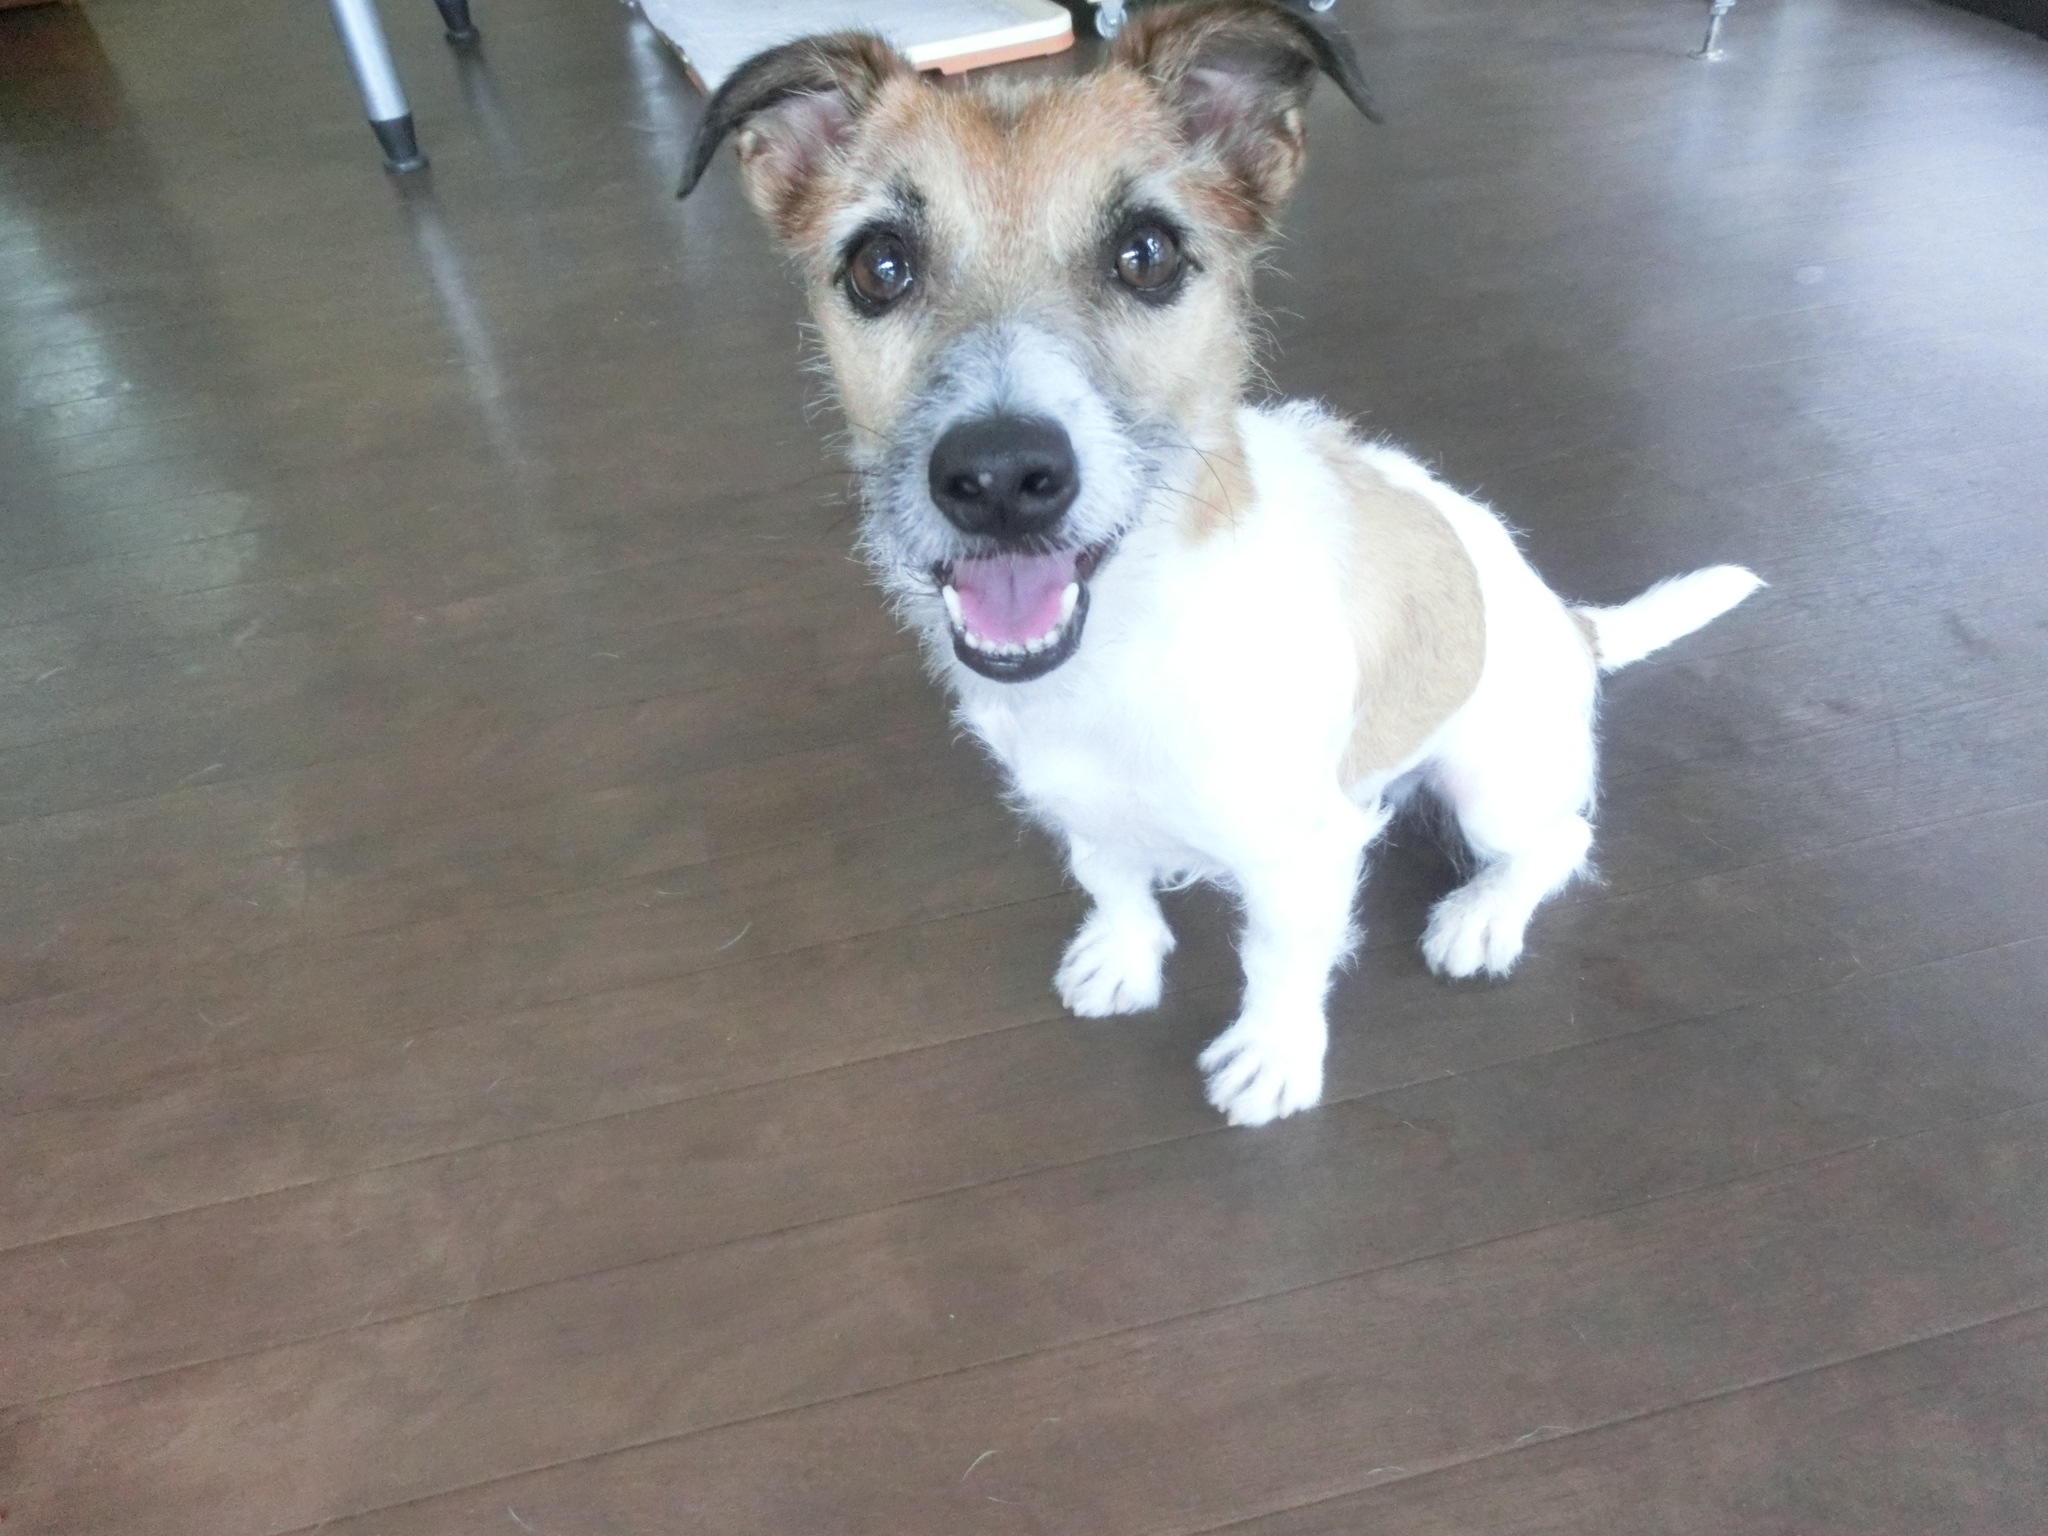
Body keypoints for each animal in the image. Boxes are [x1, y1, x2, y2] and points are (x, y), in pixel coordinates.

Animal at [680, 0, 1761, 1126]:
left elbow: (1280, 961)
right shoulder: (1078, 806)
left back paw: (1482, 916)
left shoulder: (1305, 857)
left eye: (1147, 253)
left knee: (1559, 843)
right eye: (878, 265)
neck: (1127, 643)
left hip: (1493, 781)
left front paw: (1273, 1057)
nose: (1000, 478)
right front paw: (1122, 956)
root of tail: (1571, 621)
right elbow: (1109, 876)